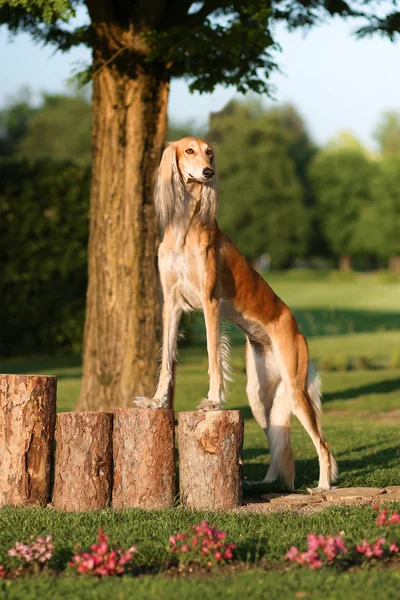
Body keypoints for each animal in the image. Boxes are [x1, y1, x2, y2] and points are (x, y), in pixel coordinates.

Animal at [135, 134, 338, 490]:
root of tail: (295, 325)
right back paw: (267, 481)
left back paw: (324, 485)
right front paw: (156, 401)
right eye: (189, 150)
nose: (208, 172)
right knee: (276, 435)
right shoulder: (170, 304)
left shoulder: (210, 302)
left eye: (210, 153)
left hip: (295, 387)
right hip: (259, 397)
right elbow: (166, 362)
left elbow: (213, 358)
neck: (185, 228)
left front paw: (213, 401)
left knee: (322, 443)